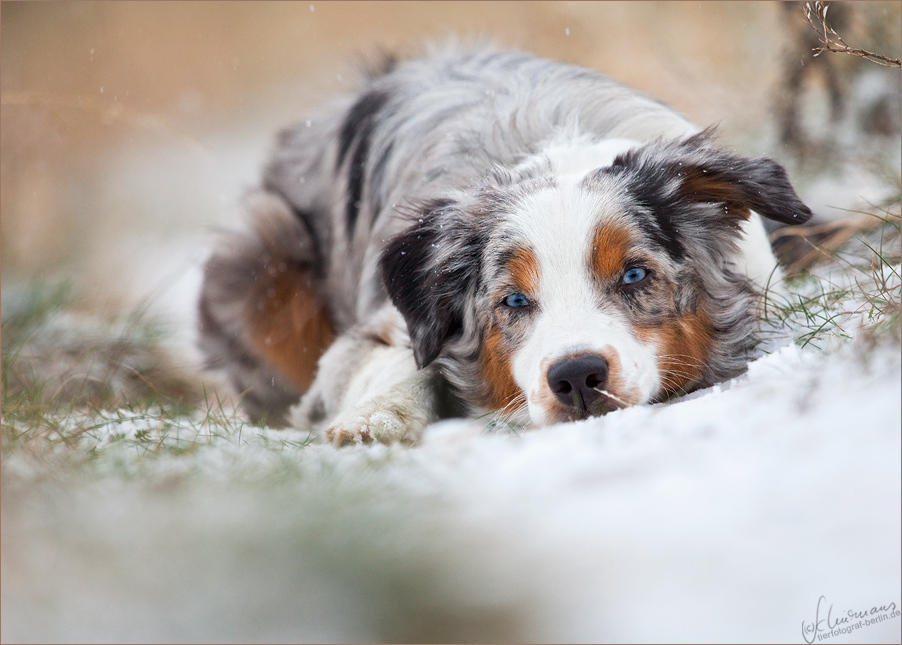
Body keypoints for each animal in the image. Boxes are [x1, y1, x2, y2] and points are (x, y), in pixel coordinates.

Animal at [200, 45, 820, 446]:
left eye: (635, 275)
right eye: (514, 301)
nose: (577, 376)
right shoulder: (384, 326)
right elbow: (406, 363)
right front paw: (378, 419)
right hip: (260, 257)